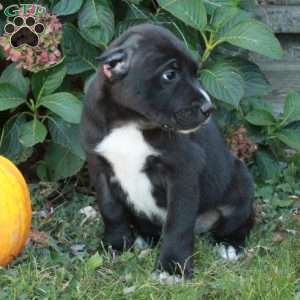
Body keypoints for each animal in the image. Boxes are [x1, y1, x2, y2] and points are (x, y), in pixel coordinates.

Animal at [81, 24, 254, 278]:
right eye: (169, 75)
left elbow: (177, 225)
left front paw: (172, 268)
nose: (208, 108)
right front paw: (116, 245)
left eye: (195, 74)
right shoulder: (99, 168)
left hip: (241, 183)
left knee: (242, 220)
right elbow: (111, 210)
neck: (130, 122)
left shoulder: (181, 174)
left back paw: (229, 244)